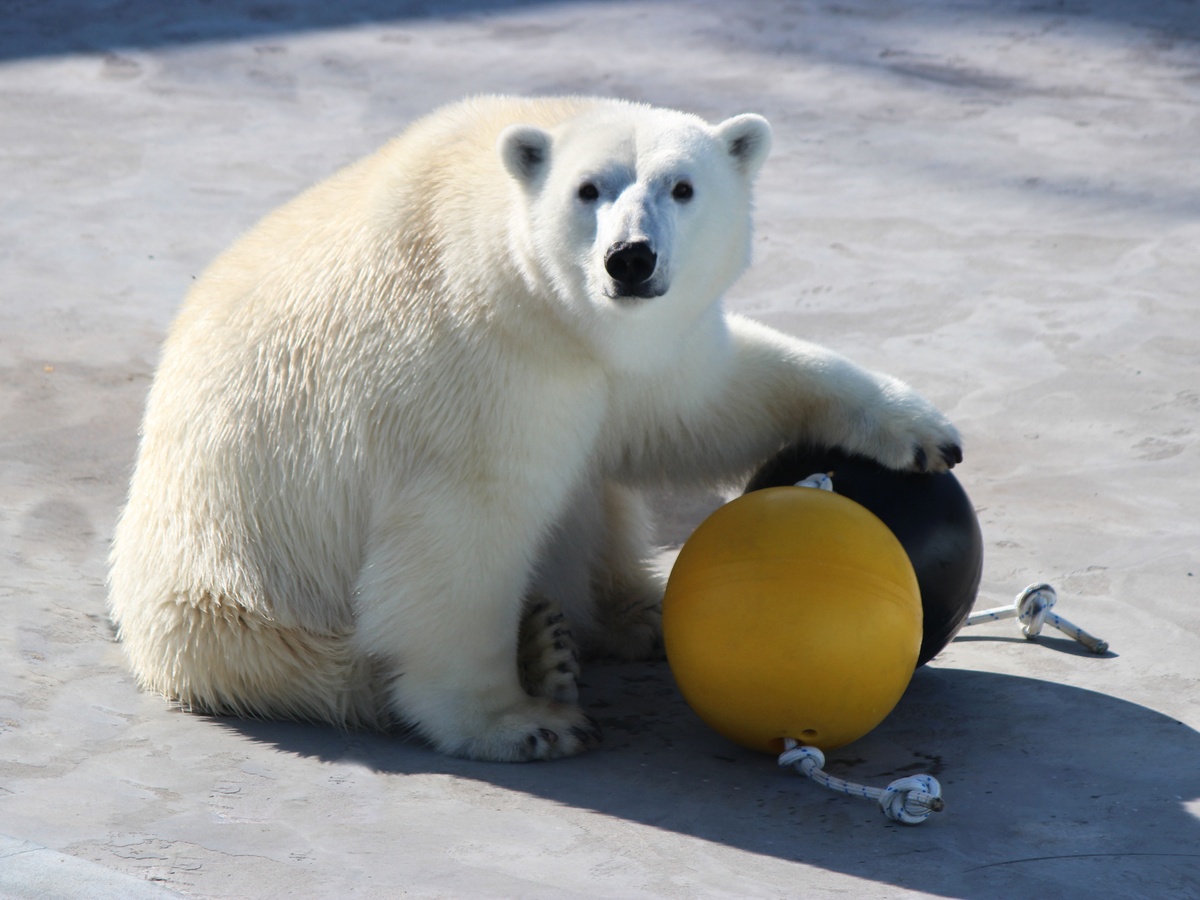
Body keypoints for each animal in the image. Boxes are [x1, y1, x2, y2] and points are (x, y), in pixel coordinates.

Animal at [108, 97, 960, 763]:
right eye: (589, 189)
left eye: (683, 187)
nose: (630, 259)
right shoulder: (478, 357)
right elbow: (461, 534)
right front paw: (520, 722)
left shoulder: (621, 354)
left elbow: (697, 404)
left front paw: (918, 430)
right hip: (232, 601)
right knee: (331, 669)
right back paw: (539, 649)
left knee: (597, 506)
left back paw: (628, 615)